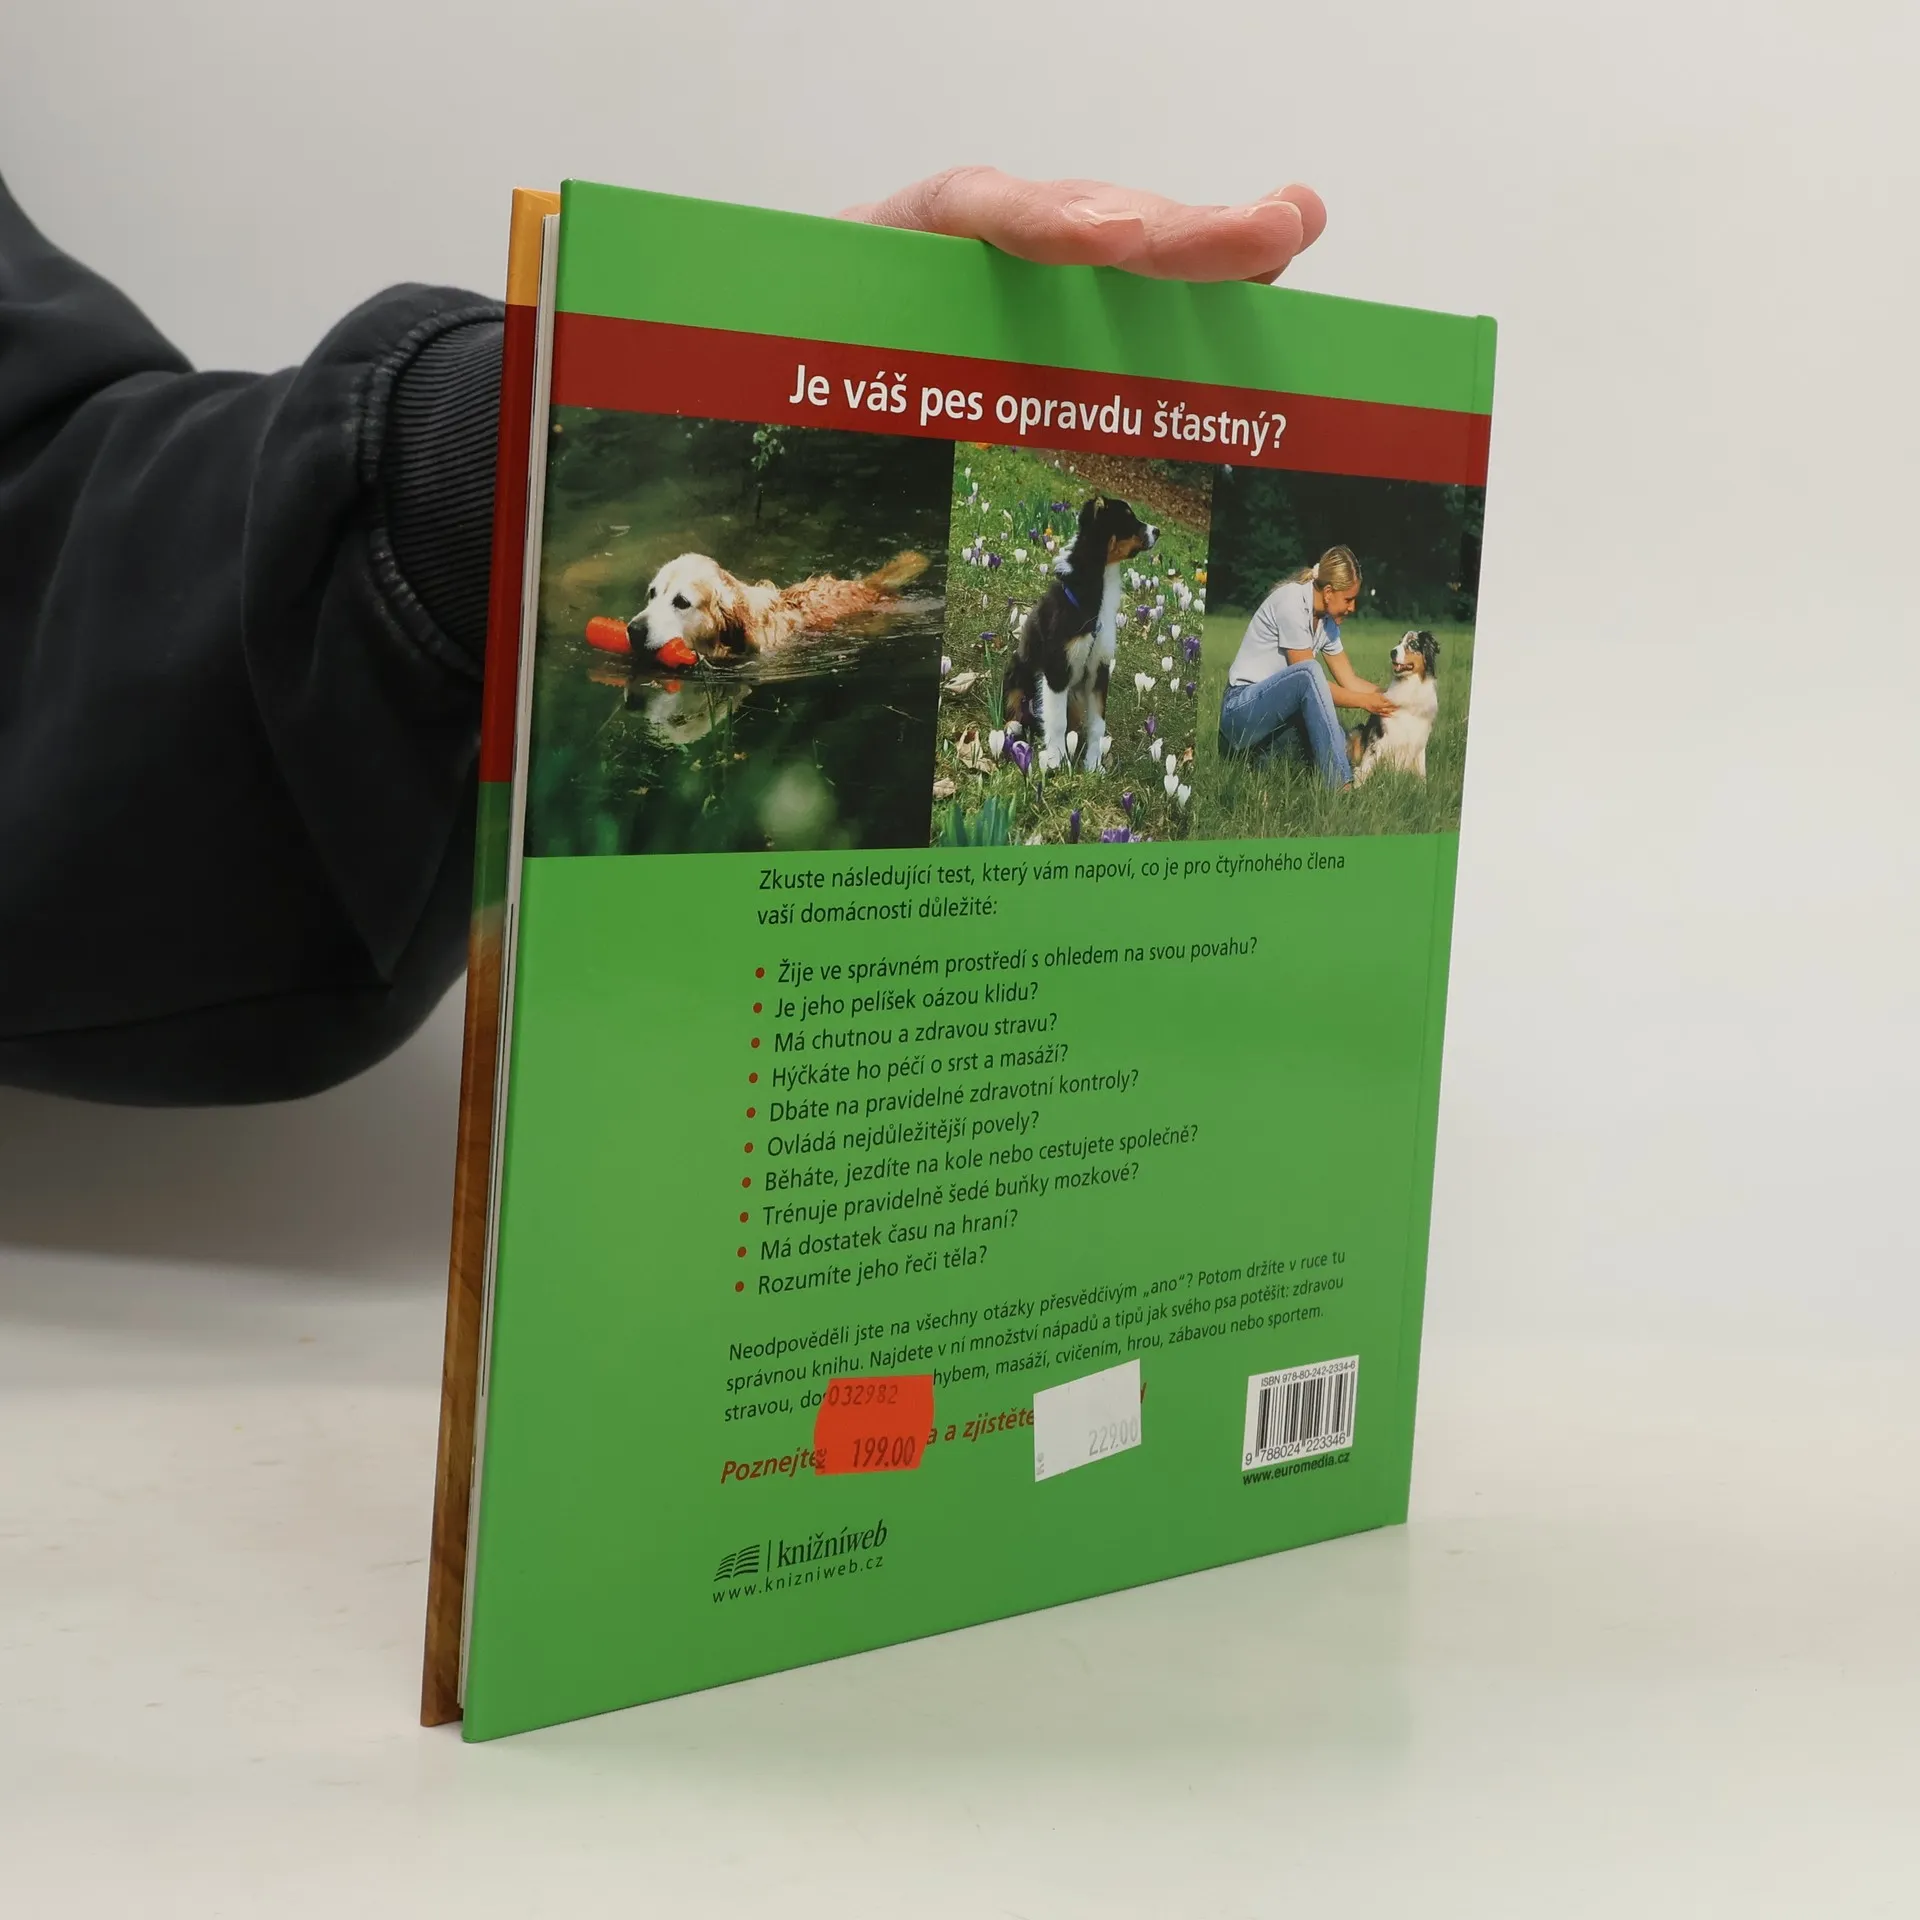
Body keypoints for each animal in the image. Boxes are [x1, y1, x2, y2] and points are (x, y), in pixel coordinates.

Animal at [1002, 494, 1158, 772]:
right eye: (1127, 518)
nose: (1157, 531)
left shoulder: (1099, 668)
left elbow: (1097, 724)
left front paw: (1093, 766)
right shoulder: (1057, 666)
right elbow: (1056, 721)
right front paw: (1057, 761)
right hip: (1016, 671)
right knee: (1016, 709)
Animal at [1348, 630, 1440, 784]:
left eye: (1412, 644)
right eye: (1399, 642)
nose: (1392, 652)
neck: (1410, 687)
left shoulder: (1420, 740)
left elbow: (1422, 773)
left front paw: (1422, 789)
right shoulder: (1379, 737)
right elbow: (1366, 766)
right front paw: (1358, 786)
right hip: (1357, 731)